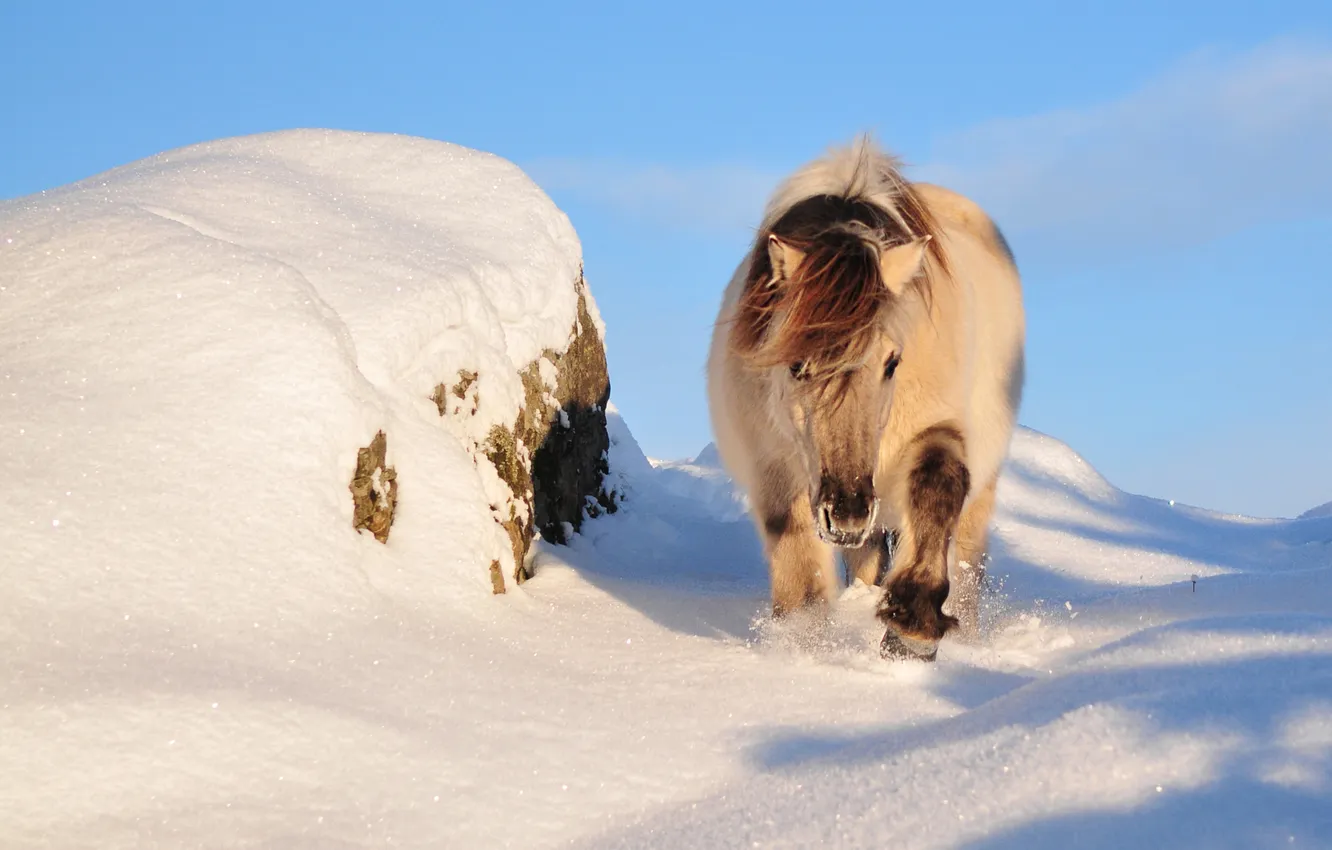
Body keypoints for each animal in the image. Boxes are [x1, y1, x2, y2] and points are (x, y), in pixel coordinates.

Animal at [706, 135, 1025, 660]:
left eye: (892, 362)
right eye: (795, 365)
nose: (849, 510)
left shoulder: (934, 427)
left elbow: (937, 487)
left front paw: (912, 625)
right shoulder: (774, 463)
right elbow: (800, 570)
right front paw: (804, 646)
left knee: (967, 561)